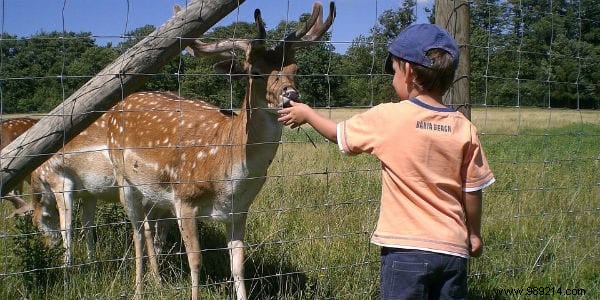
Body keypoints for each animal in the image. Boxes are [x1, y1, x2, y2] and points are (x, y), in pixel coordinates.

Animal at [106, 1, 336, 298]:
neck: (228, 174)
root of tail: (119, 103)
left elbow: (237, 266)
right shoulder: (184, 198)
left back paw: (156, 281)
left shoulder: (239, 210)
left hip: (154, 193)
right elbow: (195, 261)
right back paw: (138, 290)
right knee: (135, 229)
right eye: (255, 72)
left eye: (295, 69)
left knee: (147, 228)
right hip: (124, 180)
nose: (291, 96)